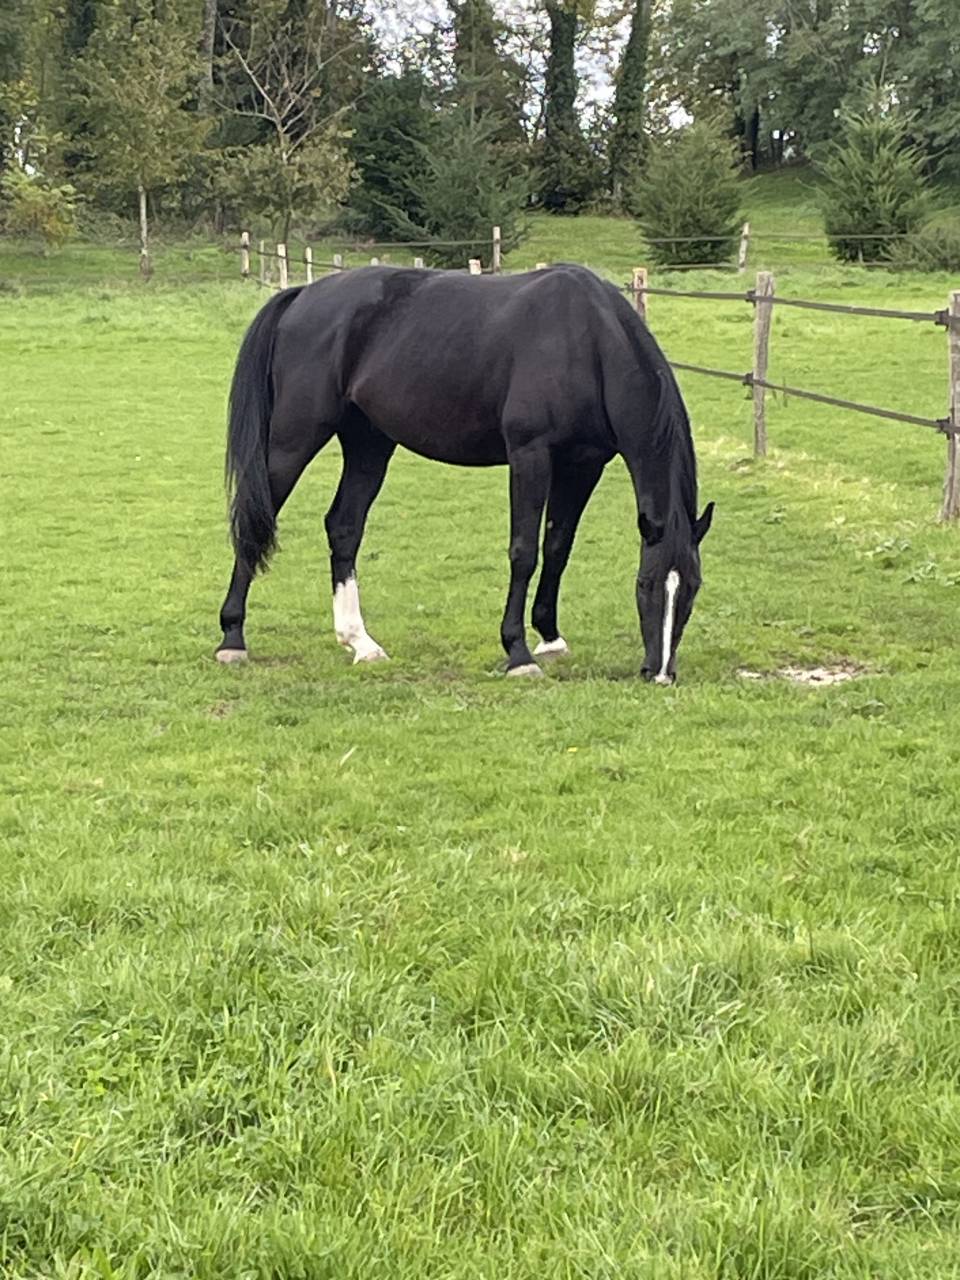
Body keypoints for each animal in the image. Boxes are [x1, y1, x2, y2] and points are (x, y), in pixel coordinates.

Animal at [215, 264, 714, 682]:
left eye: (692, 588)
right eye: (645, 585)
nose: (660, 673)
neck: (586, 341)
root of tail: (301, 296)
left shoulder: (583, 464)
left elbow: (557, 548)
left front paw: (550, 638)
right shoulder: (531, 455)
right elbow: (524, 552)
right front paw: (519, 654)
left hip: (368, 444)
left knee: (344, 527)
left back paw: (361, 643)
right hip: (294, 439)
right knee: (254, 523)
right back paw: (232, 639)